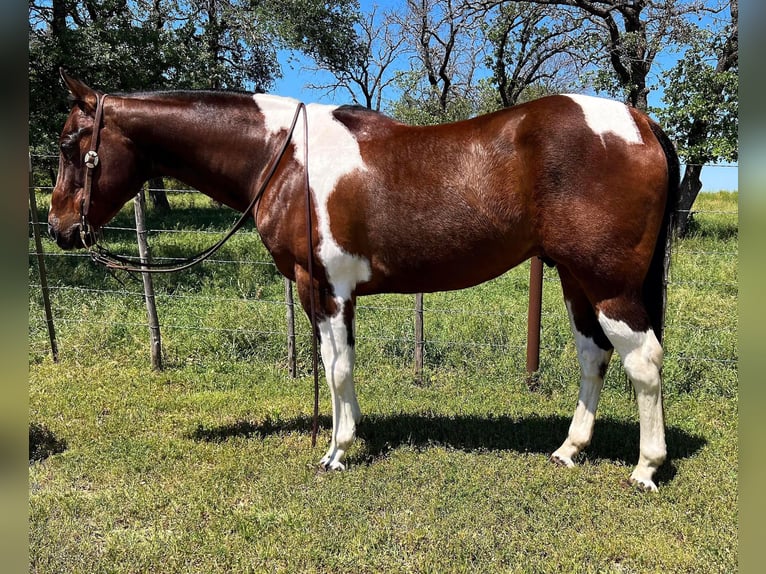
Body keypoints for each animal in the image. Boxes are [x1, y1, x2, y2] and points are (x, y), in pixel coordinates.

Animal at [51, 70, 680, 492]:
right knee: (593, 356)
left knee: (643, 361)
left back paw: (646, 468)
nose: (59, 227)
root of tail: (639, 121)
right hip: (575, 279)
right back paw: (569, 450)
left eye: (69, 146)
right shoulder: (338, 294)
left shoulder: (323, 288)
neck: (283, 158)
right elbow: (343, 364)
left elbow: (335, 367)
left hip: (610, 285)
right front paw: (350, 435)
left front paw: (336, 451)